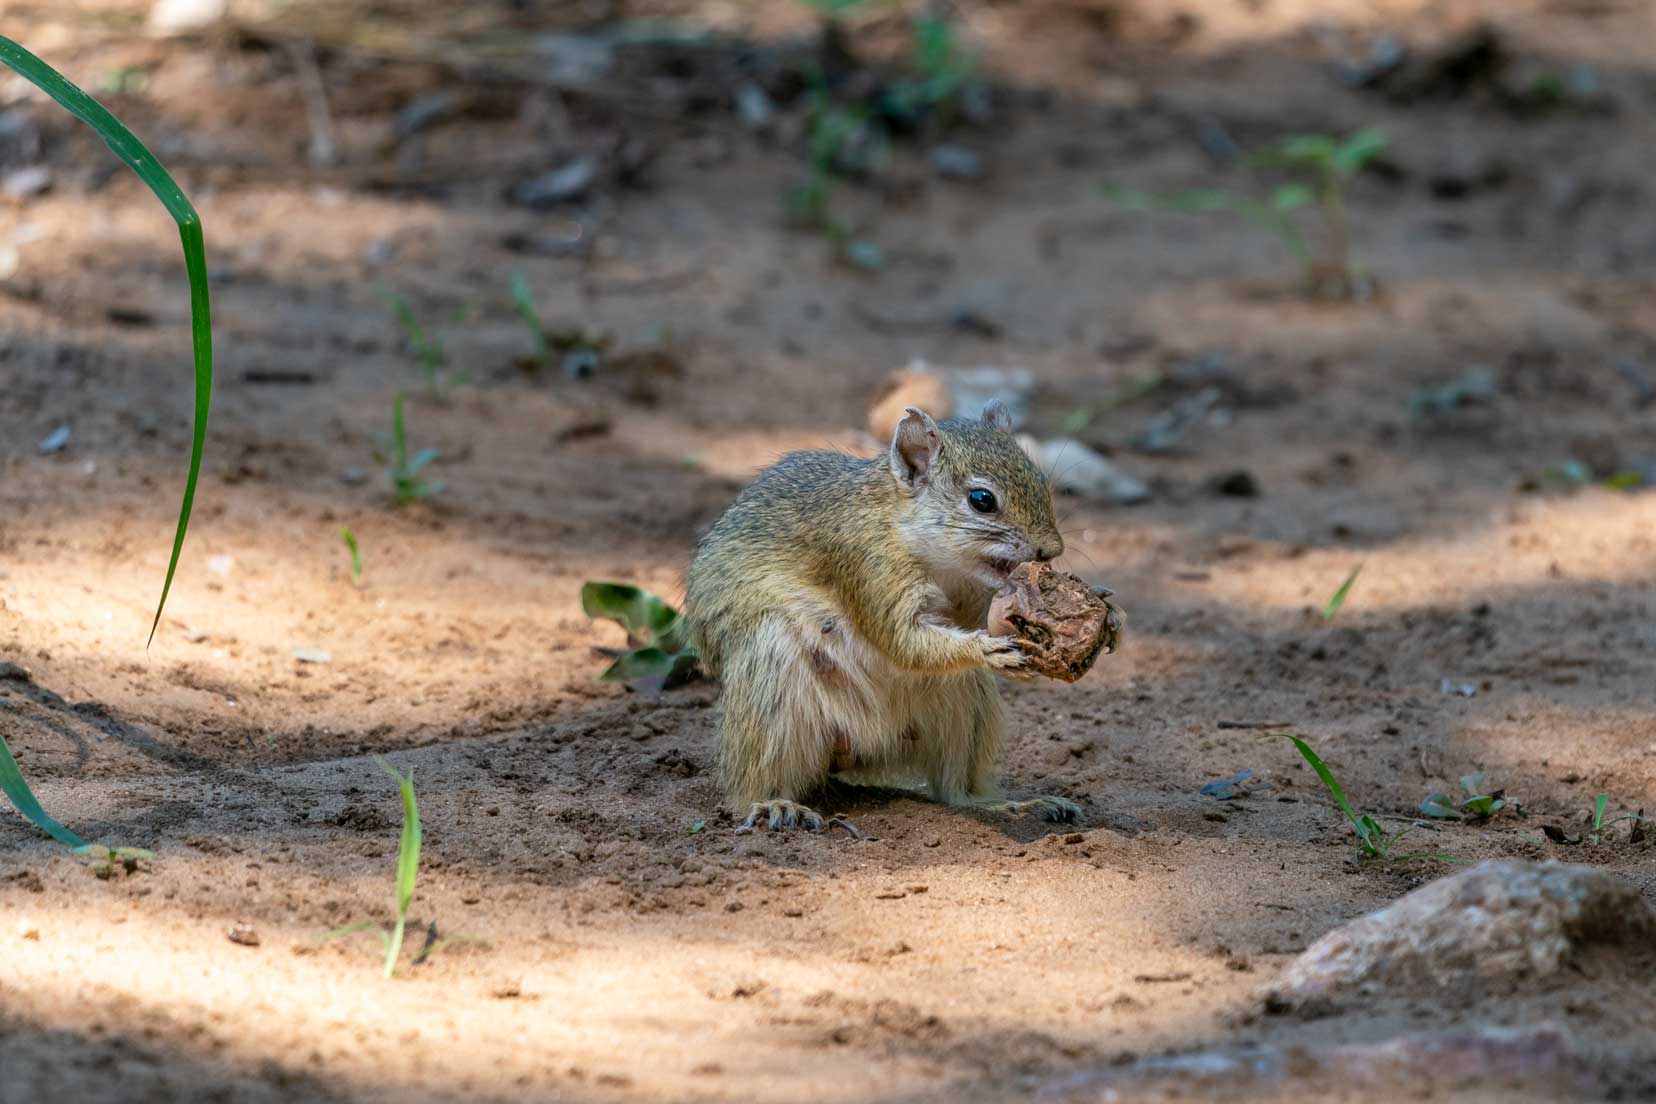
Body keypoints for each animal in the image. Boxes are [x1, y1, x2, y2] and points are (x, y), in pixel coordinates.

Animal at [682, 402, 1079, 834]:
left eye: (1041, 480)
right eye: (981, 500)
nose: (1051, 550)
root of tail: (856, 749)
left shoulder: (968, 597)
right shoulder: (866, 564)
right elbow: (902, 641)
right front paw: (986, 650)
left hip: (968, 704)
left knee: (954, 790)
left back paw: (1012, 806)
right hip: (770, 675)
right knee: (751, 781)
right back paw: (773, 803)